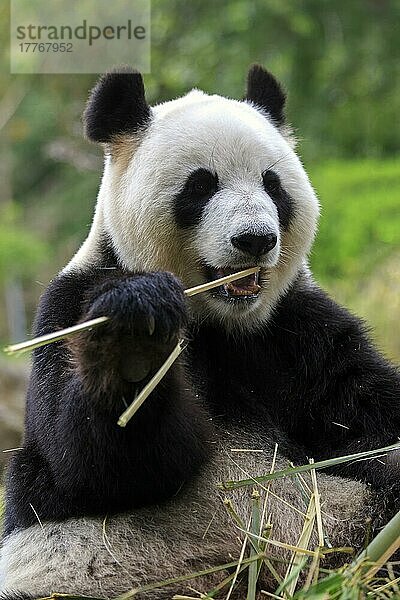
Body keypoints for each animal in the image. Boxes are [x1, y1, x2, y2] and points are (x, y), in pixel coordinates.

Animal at [0, 67, 400, 600]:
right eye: (201, 185)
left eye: (273, 184)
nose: (255, 240)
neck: (217, 321)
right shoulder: (72, 306)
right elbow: (94, 466)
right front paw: (137, 335)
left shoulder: (296, 329)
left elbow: (368, 417)